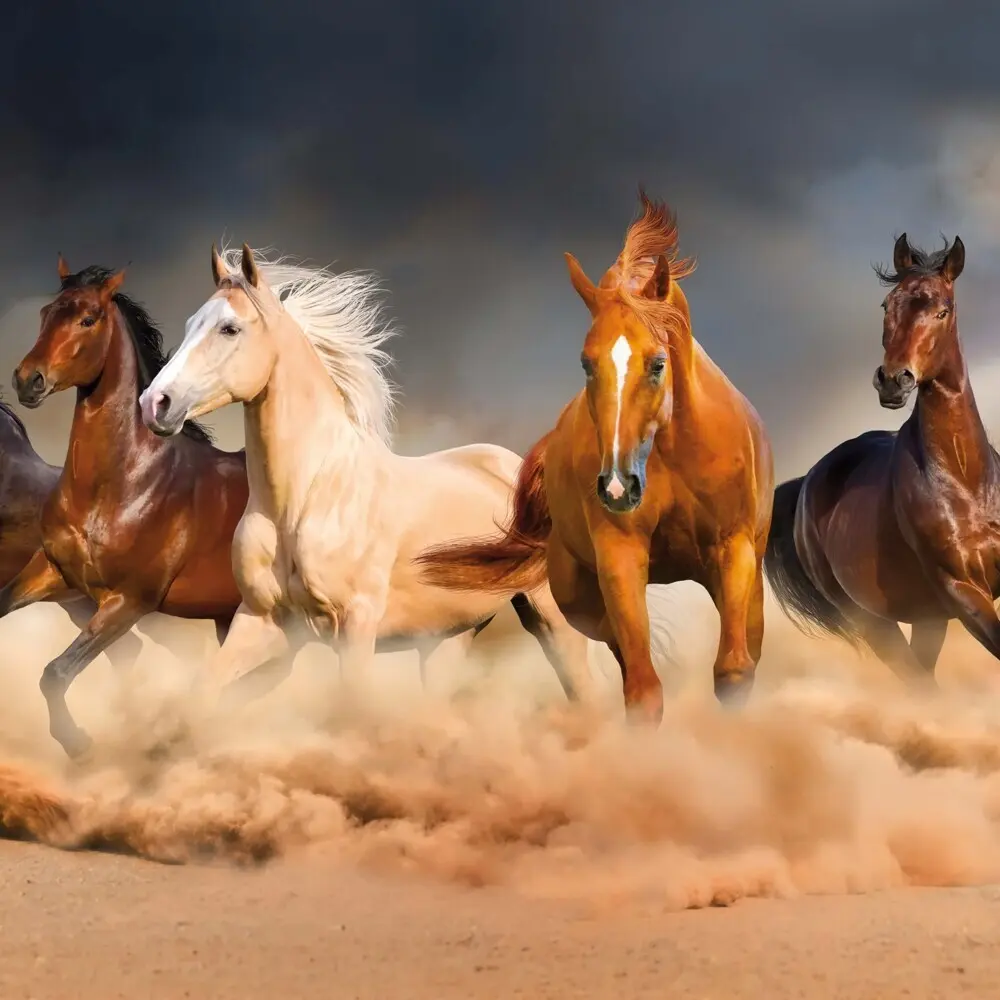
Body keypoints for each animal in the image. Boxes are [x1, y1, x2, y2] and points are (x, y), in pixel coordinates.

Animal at [1, 258, 250, 758]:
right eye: (45, 313)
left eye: (88, 318)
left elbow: (55, 672)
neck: (122, 485)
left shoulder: (128, 601)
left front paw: (77, 742)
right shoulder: (53, 571)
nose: (27, 379)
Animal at [136, 243, 593, 710]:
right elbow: (202, 692)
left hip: (549, 615)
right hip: (448, 638)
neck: (305, 500)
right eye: (191, 324)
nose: (155, 403)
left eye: (229, 328)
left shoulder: (355, 624)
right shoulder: (261, 621)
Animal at [415, 191, 775, 722]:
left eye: (657, 364)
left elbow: (733, 671)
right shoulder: (619, 557)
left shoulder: (733, 551)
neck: (673, 455)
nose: (618, 487)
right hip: (578, 599)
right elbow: (643, 689)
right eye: (587, 363)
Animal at [763, 233, 1000, 684]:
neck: (965, 481)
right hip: (877, 622)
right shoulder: (963, 592)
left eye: (943, 310)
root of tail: (806, 483)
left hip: (928, 619)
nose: (893, 380)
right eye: (887, 305)